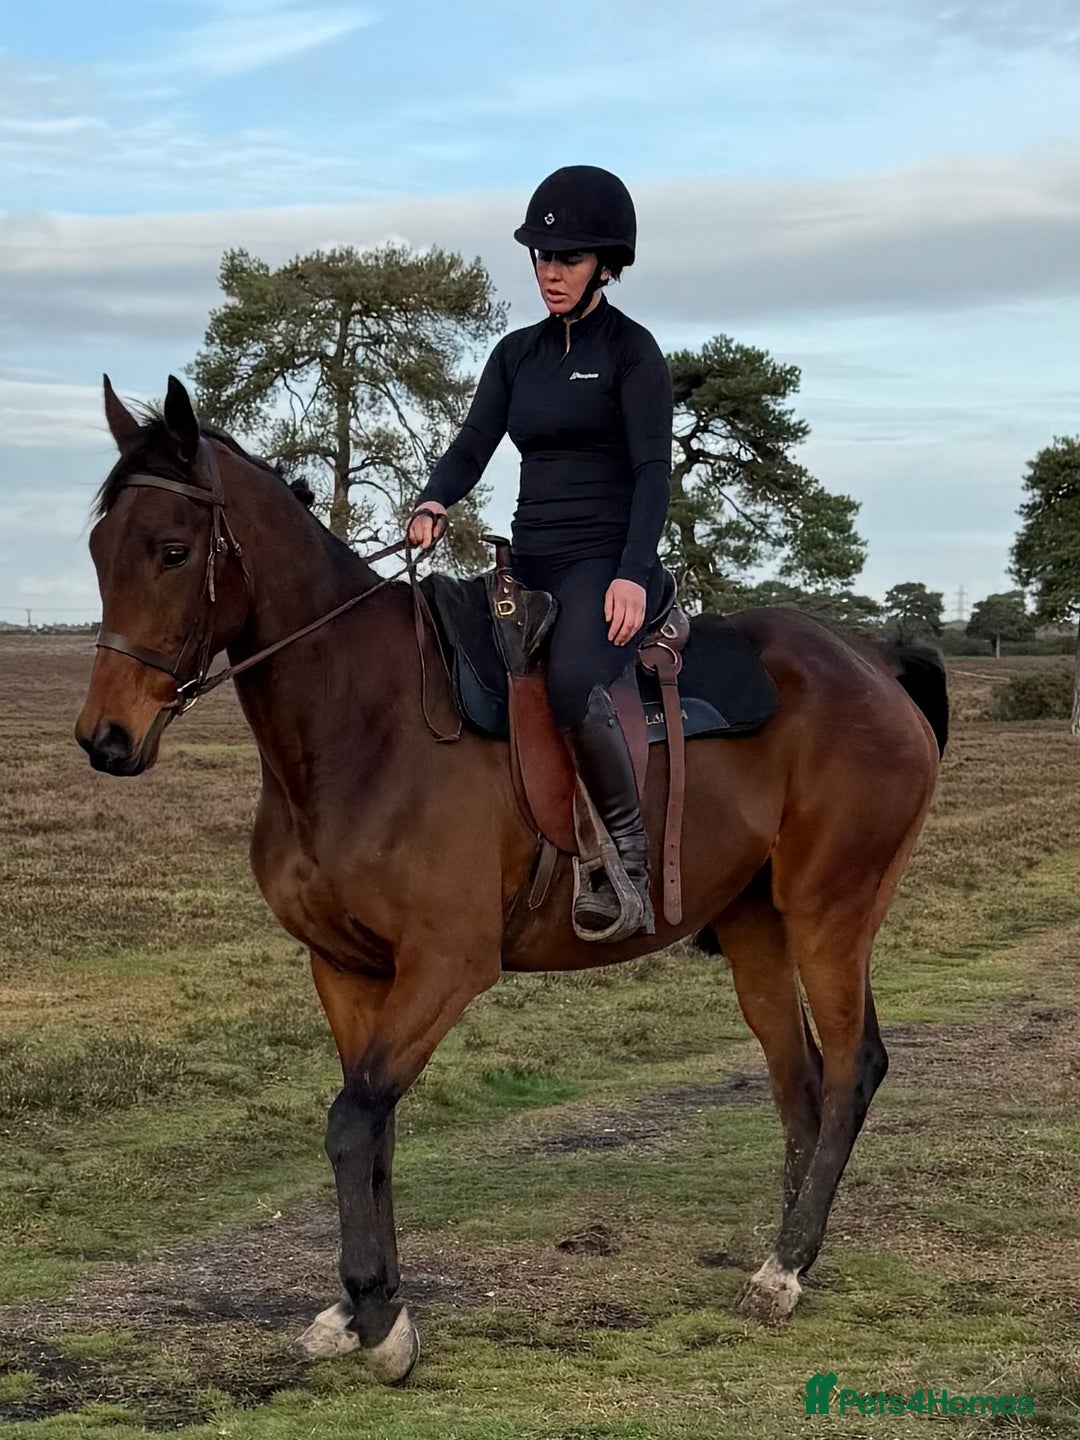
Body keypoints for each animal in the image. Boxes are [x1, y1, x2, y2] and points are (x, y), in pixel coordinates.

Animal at [75, 375, 946, 1383]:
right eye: (99, 550)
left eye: (172, 551)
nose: (105, 739)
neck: (363, 723)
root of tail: (872, 660)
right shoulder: (347, 971)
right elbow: (370, 1129)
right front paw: (362, 1308)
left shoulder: (447, 966)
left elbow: (352, 1120)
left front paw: (379, 1317)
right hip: (756, 927)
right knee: (797, 1079)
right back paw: (784, 1254)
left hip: (828, 916)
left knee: (851, 1069)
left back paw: (787, 1268)